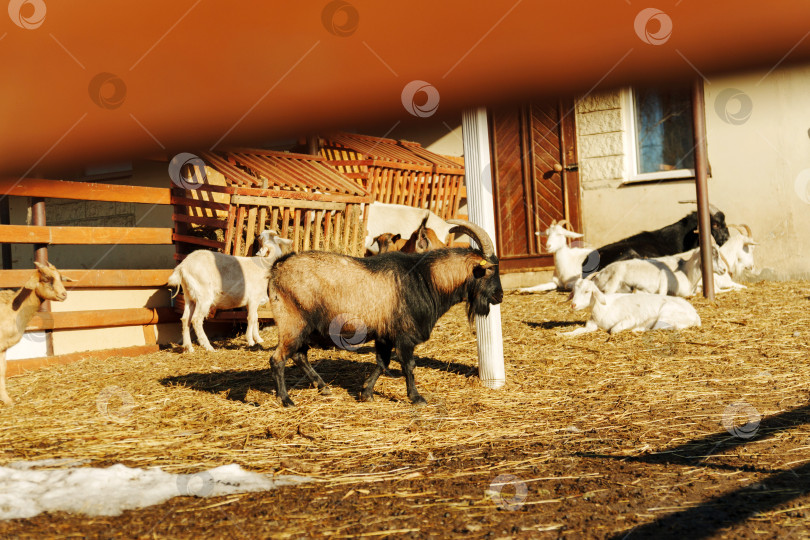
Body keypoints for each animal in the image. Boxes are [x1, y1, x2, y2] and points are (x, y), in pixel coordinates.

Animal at [0, 262, 73, 406]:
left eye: (60, 278)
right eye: (46, 279)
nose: (64, 294)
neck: (11, 310)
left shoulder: (3, 348)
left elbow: (2, 371)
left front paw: (7, 400)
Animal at [267, 220, 503, 407]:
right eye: (490, 269)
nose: (499, 295)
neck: (426, 278)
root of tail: (277, 268)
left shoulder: (384, 336)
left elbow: (383, 363)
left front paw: (366, 393)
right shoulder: (404, 335)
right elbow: (408, 365)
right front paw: (417, 398)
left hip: (303, 328)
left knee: (298, 354)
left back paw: (323, 387)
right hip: (293, 323)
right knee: (278, 358)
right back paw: (286, 399)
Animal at [560, 278, 701, 336]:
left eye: (587, 291)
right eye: (574, 291)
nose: (573, 304)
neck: (603, 308)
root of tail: (695, 315)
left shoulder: (630, 319)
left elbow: (614, 330)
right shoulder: (591, 325)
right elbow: (578, 330)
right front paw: (563, 333)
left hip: (666, 315)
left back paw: (639, 329)